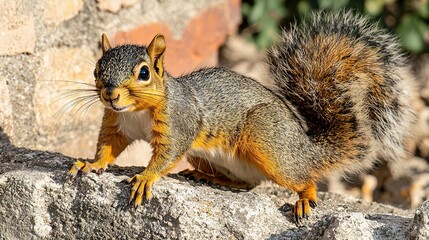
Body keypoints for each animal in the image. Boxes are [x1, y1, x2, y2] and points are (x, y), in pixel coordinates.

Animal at [68, 10, 412, 222]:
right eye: (97, 69)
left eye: (143, 73)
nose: (110, 95)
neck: (137, 111)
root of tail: (306, 147)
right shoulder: (116, 124)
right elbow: (107, 147)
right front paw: (91, 164)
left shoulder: (179, 123)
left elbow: (166, 155)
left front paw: (145, 177)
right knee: (247, 183)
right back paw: (208, 177)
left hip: (267, 141)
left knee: (302, 176)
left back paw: (304, 197)